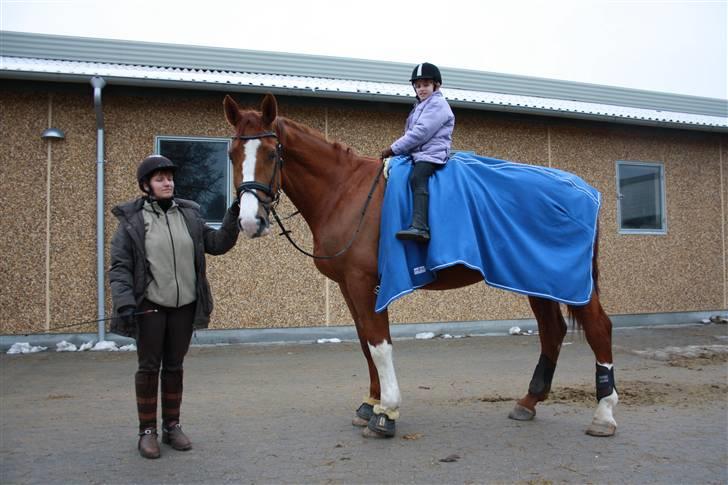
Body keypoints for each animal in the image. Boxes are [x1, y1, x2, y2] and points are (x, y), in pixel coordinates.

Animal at [223, 93, 620, 438]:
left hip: (564, 280)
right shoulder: (348, 286)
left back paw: (603, 415)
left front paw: (386, 412)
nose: (249, 221)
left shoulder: (364, 282)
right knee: (552, 331)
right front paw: (370, 403)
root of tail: (585, 191)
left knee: (599, 328)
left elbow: (379, 344)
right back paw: (529, 401)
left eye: (272, 153)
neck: (346, 191)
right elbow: (365, 343)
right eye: (231, 153)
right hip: (535, 278)